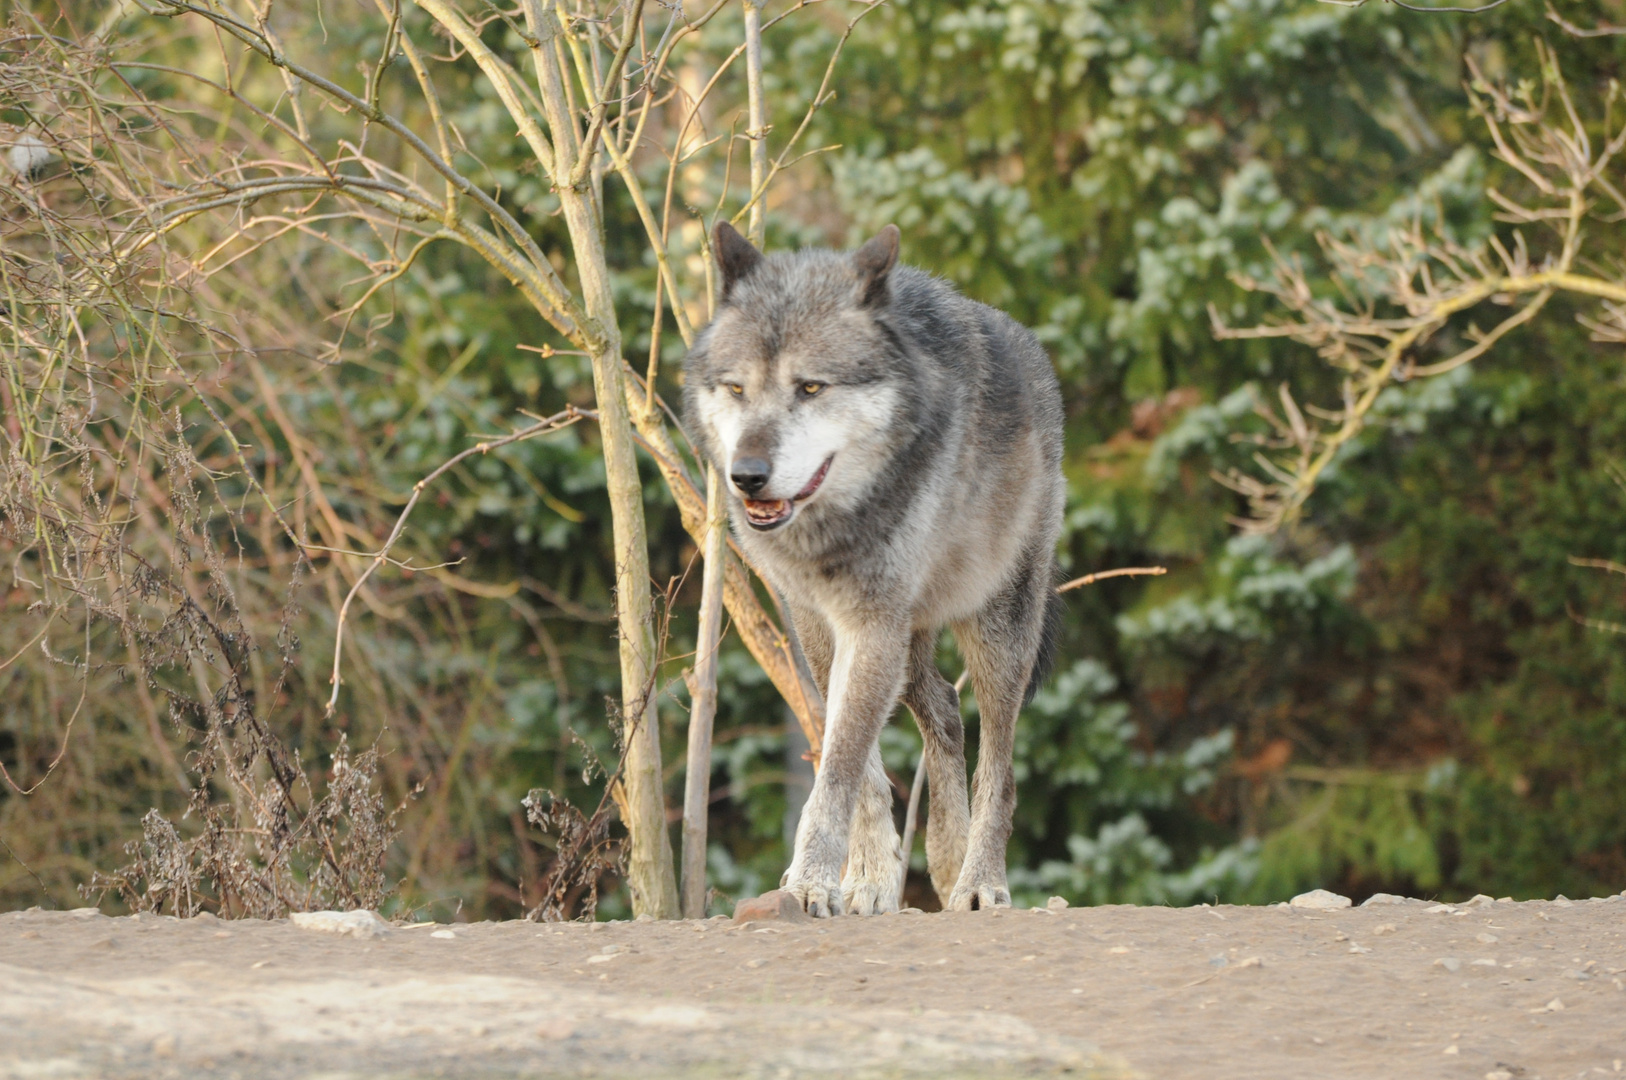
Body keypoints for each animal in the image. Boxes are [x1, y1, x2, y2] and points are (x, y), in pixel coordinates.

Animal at [686, 222, 1066, 917]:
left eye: (811, 388)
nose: (747, 475)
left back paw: (978, 882)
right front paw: (864, 879)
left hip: (998, 629)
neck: (837, 523)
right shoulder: (817, 622)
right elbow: (855, 763)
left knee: (1000, 764)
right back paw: (943, 857)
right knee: (945, 707)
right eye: (736, 389)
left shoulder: (871, 625)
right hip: (912, 643)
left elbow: (839, 762)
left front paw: (811, 880)